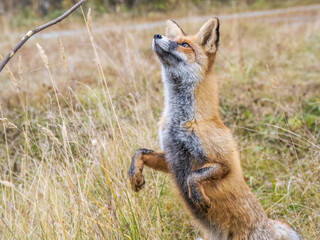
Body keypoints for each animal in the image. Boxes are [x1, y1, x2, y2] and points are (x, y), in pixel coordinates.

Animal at [127, 17, 300, 239]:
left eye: (185, 44)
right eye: (174, 39)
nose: (157, 35)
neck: (181, 121)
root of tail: (266, 224)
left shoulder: (224, 162)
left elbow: (193, 176)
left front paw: (198, 197)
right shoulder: (171, 157)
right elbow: (139, 152)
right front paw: (135, 176)